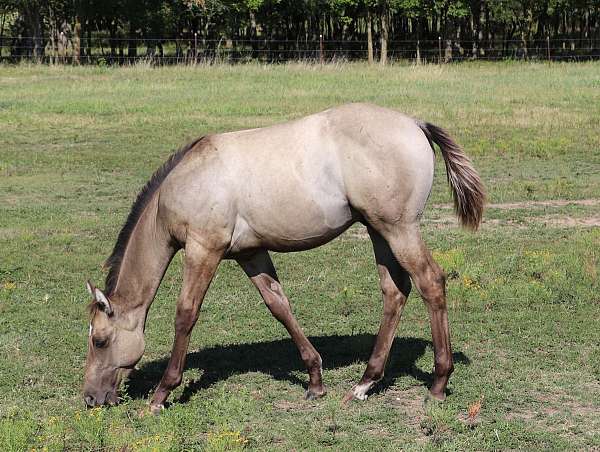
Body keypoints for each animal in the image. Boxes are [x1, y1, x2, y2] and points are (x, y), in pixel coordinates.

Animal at [83, 102, 482, 414]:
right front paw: (315, 380)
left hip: (399, 229)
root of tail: (415, 123)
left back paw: (438, 383)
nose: (90, 398)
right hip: (378, 229)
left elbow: (186, 314)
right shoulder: (250, 253)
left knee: (431, 281)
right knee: (395, 291)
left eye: (99, 340)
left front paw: (162, 393)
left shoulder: (203, 250)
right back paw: (364, 384)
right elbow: (279, 306)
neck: (187, 181)